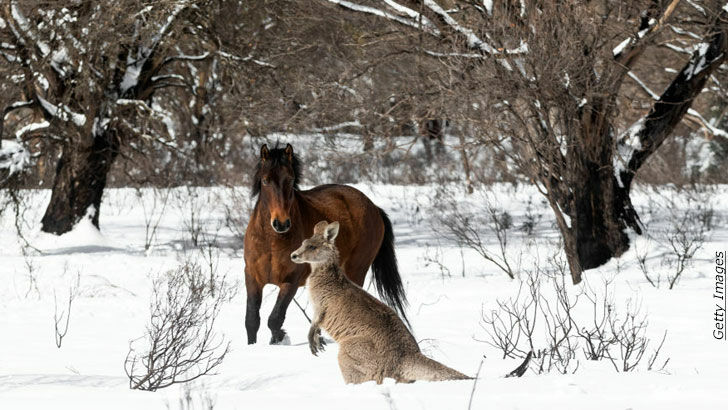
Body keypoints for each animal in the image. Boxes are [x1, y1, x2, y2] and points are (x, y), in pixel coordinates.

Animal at [242, 143, 406, 344]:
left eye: (290, 179)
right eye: (265, 180)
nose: (281, 223)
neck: (271, 241)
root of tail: (374, 207)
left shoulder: (291, 282)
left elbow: (275, 319)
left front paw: (280, 338)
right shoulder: (252, 278)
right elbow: (252, 320)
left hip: (356, 270)